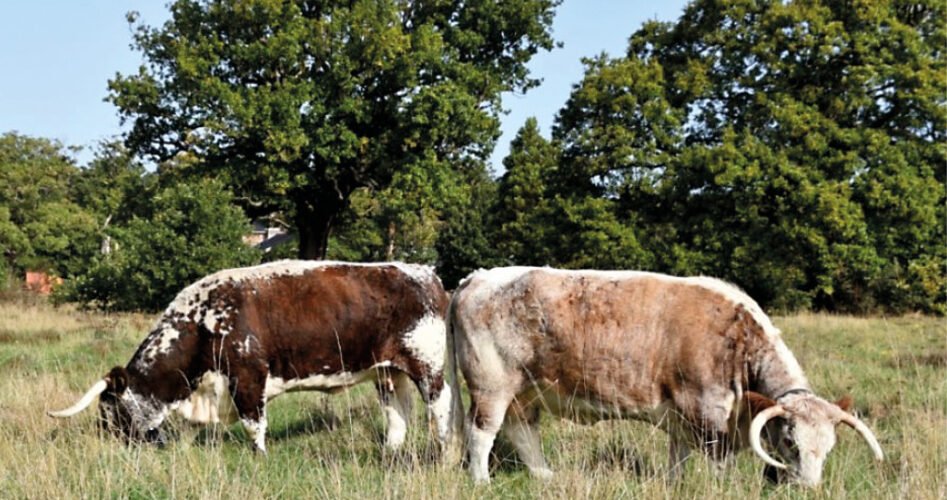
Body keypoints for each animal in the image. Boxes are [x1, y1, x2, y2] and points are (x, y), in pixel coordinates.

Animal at [48, 260, 464, 460]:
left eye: (109, 411)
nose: (108, 445)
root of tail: (424, 273)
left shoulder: (248, 377)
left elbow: (254, 423)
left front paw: (259, 455)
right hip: (388, 371)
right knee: (397, 412)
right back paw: (390, 451)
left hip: (427, 364)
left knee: (440, 405)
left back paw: (444, 448)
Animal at [449, 267, 884, 486]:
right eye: (790, 442)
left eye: (829, 447)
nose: (808, 487)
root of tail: (480, 276)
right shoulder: (707, 411)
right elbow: (719, 462)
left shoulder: (680, 416)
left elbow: (679, 457)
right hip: (492, 385)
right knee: (482, 432)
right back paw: (481, 482)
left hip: (527, 390)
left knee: (522, 430)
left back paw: (543, 475)